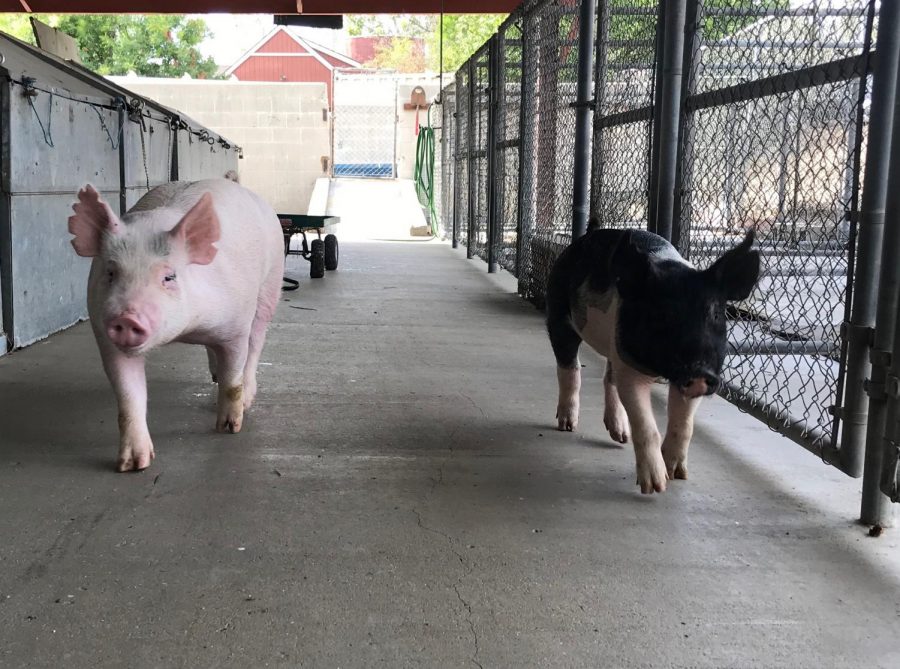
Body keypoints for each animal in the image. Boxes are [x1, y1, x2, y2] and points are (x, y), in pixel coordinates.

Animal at [68, 177, 284, 470]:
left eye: (169, 277)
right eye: (111, 273)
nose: (126, 317)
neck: (186, 331)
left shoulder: (236, 325)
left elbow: (233, 377)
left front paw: (228, 428)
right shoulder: (105, 338)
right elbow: (128, 396)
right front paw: (133, 465)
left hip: (271, 284)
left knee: (257, 340)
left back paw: (247, 397)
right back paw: (214, 374)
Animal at [548, 219, 760, 490]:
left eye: (715, 314)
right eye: (663, 315)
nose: (699, 371)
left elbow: (684, 424)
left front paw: (677, 474)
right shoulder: (630, 364)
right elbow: (645, 423)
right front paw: (656, 485)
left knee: (609, 378)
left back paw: (621, 436)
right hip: (559, 311)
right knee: (569, 368)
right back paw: (567, 425)